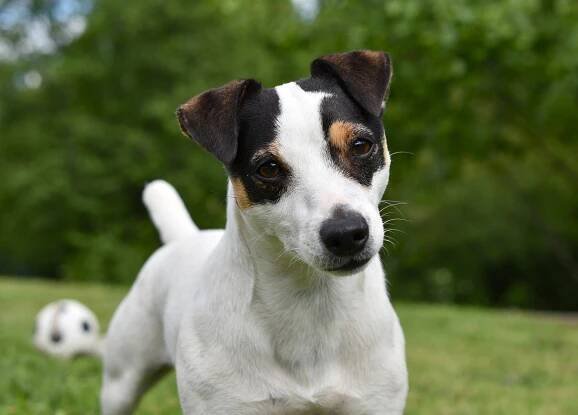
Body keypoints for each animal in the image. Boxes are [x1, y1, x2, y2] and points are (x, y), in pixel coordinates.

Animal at [101, 50, 408, 414]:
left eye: (361, 145)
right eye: (268, 168)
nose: (345, 233)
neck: (308, 301)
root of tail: (184, 237)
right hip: (121, 382)